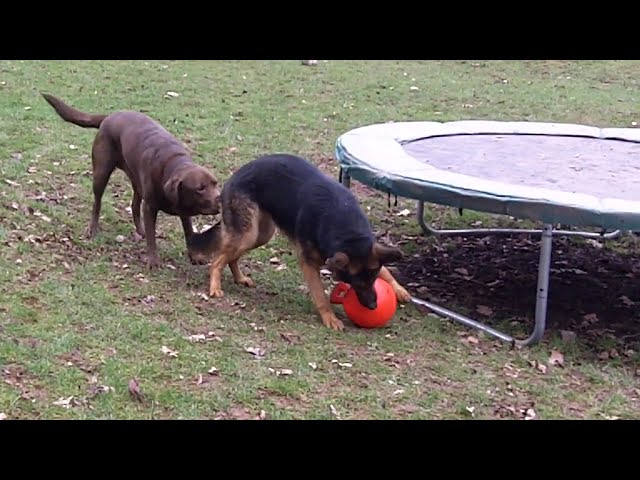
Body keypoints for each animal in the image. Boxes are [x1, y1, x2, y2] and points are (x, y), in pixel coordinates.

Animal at [40, 92, 220, 268]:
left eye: (215, 183)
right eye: (200, 188)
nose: (220, 200)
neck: (173, 164)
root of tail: (109, 116)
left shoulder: (184, 210)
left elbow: (189, 233)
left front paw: (195, 257)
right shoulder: (150, 207)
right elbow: (152, 238)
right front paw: (153, 261)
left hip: (136, 179)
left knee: (134, 206)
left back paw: (140, 231)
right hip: (101, 173)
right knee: (97, 203)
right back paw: (93, 229)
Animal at [188, 154, 412, 330]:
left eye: (373, 280)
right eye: (355, 284)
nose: (373, 306)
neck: (343, 223)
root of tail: (235, 175)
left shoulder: (365, 248)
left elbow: (385, 269)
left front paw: (399, 289)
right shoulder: (308, 262)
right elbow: (320, 296)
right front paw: (330, 318)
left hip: (261, 235)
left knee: (231, 257)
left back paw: (239, 277)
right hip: (248, 234)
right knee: (217, 260)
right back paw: (215, 286)